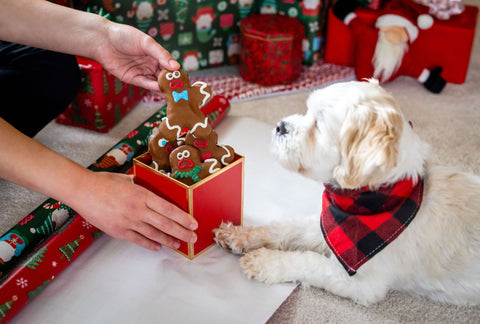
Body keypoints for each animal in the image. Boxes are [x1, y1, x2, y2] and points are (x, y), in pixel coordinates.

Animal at [216, 79, 480, 306]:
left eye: (318, 126)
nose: (280, 126)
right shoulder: (328, 226)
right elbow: (286, 228)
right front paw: (240, 235)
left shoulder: (362, 284)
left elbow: (308, 262)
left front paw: (264, 261)